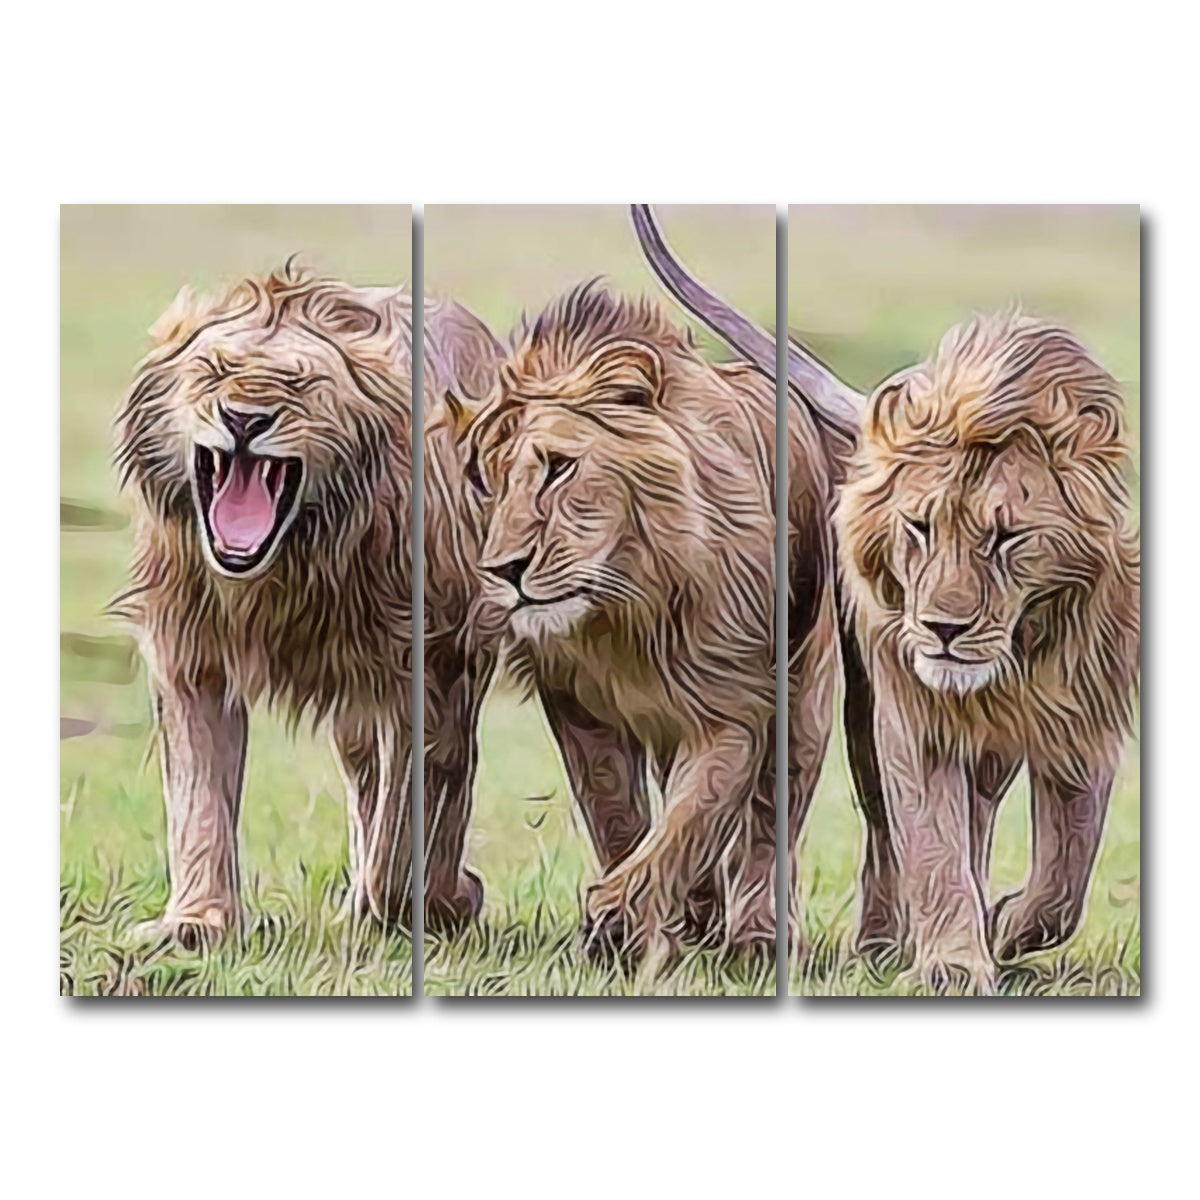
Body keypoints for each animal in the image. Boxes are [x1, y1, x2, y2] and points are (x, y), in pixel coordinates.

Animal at [114, 261, 503, 948]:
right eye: (213, 370)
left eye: (300, 384)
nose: (244, 419)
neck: (287, 569)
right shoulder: (190, 653)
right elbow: (198, 795)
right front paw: (197, 922)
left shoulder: (433, 667)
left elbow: (412, 824)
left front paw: (435, 903)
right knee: (366, 777)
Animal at [460, 280, 838, 957]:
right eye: (488, 482)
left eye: (558, 466)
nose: (504, 570)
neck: (626, 609)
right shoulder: (576, 706)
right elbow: (618, 816)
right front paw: (638, 920)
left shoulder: (733, 705)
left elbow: (694, 815)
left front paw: (617, 914)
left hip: (806, 697)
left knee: (773, 821)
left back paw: (758, 934)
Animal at [833, 312, 1140, 990]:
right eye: (920, 527)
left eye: (1006, 537)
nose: (942, 629)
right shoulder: (914, 717)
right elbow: (932, 843)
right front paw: (951, 963)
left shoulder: (1085, 717)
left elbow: (1064, 878)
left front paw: (1002, 927)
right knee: (887, 832)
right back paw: (882, 944)